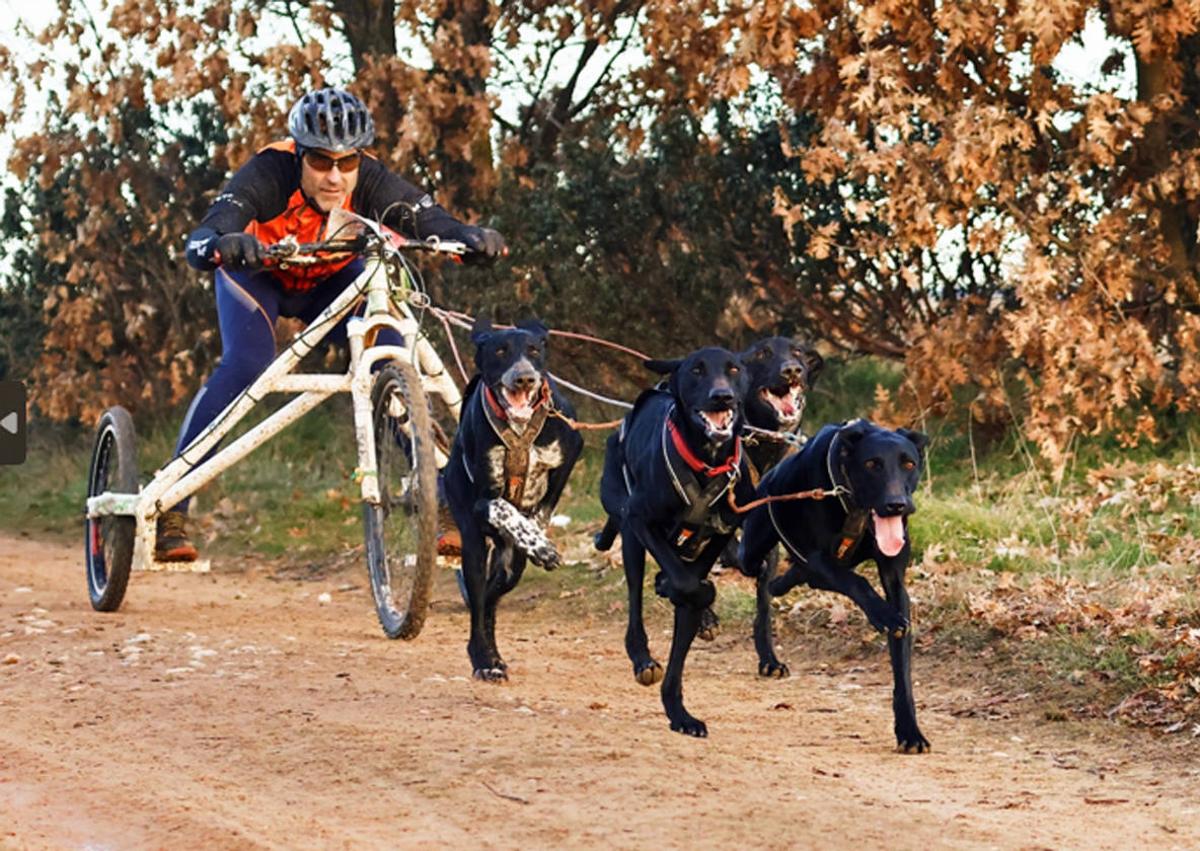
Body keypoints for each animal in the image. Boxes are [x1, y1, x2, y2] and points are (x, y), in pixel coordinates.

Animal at [446, 314, 585, 681]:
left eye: (534, 349)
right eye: (500, 350)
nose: (525, 377)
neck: (521, 430)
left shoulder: (571, 452)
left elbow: (542, 507)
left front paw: (536, 534)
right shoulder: (482, 502)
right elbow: (502, 506)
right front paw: (535, 539)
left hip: (509, 570)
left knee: (490, 602)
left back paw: (492, 655)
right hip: (473, 546)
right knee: (479, 605)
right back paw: (483, 659)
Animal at [595, 348, 753, 734]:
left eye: (734, 369)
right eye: (696, 370)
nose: (722, 396)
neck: (707, 461)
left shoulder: (722, 533)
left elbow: (689, 599)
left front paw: (679, 714)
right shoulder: (641, 519)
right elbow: (688, 586)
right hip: (630, 533)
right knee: (636, 597)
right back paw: (641, 655)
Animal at [739, 420, 926, 748]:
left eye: (909, 464)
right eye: (872, 464)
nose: (897, 506)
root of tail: (770, 474)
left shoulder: (894, 579)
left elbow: (902, 668)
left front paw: (909, 730)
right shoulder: (819, 559)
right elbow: (857, 581)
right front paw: (883, 615)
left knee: (783, 581)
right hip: (752, 548)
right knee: (750, 567)